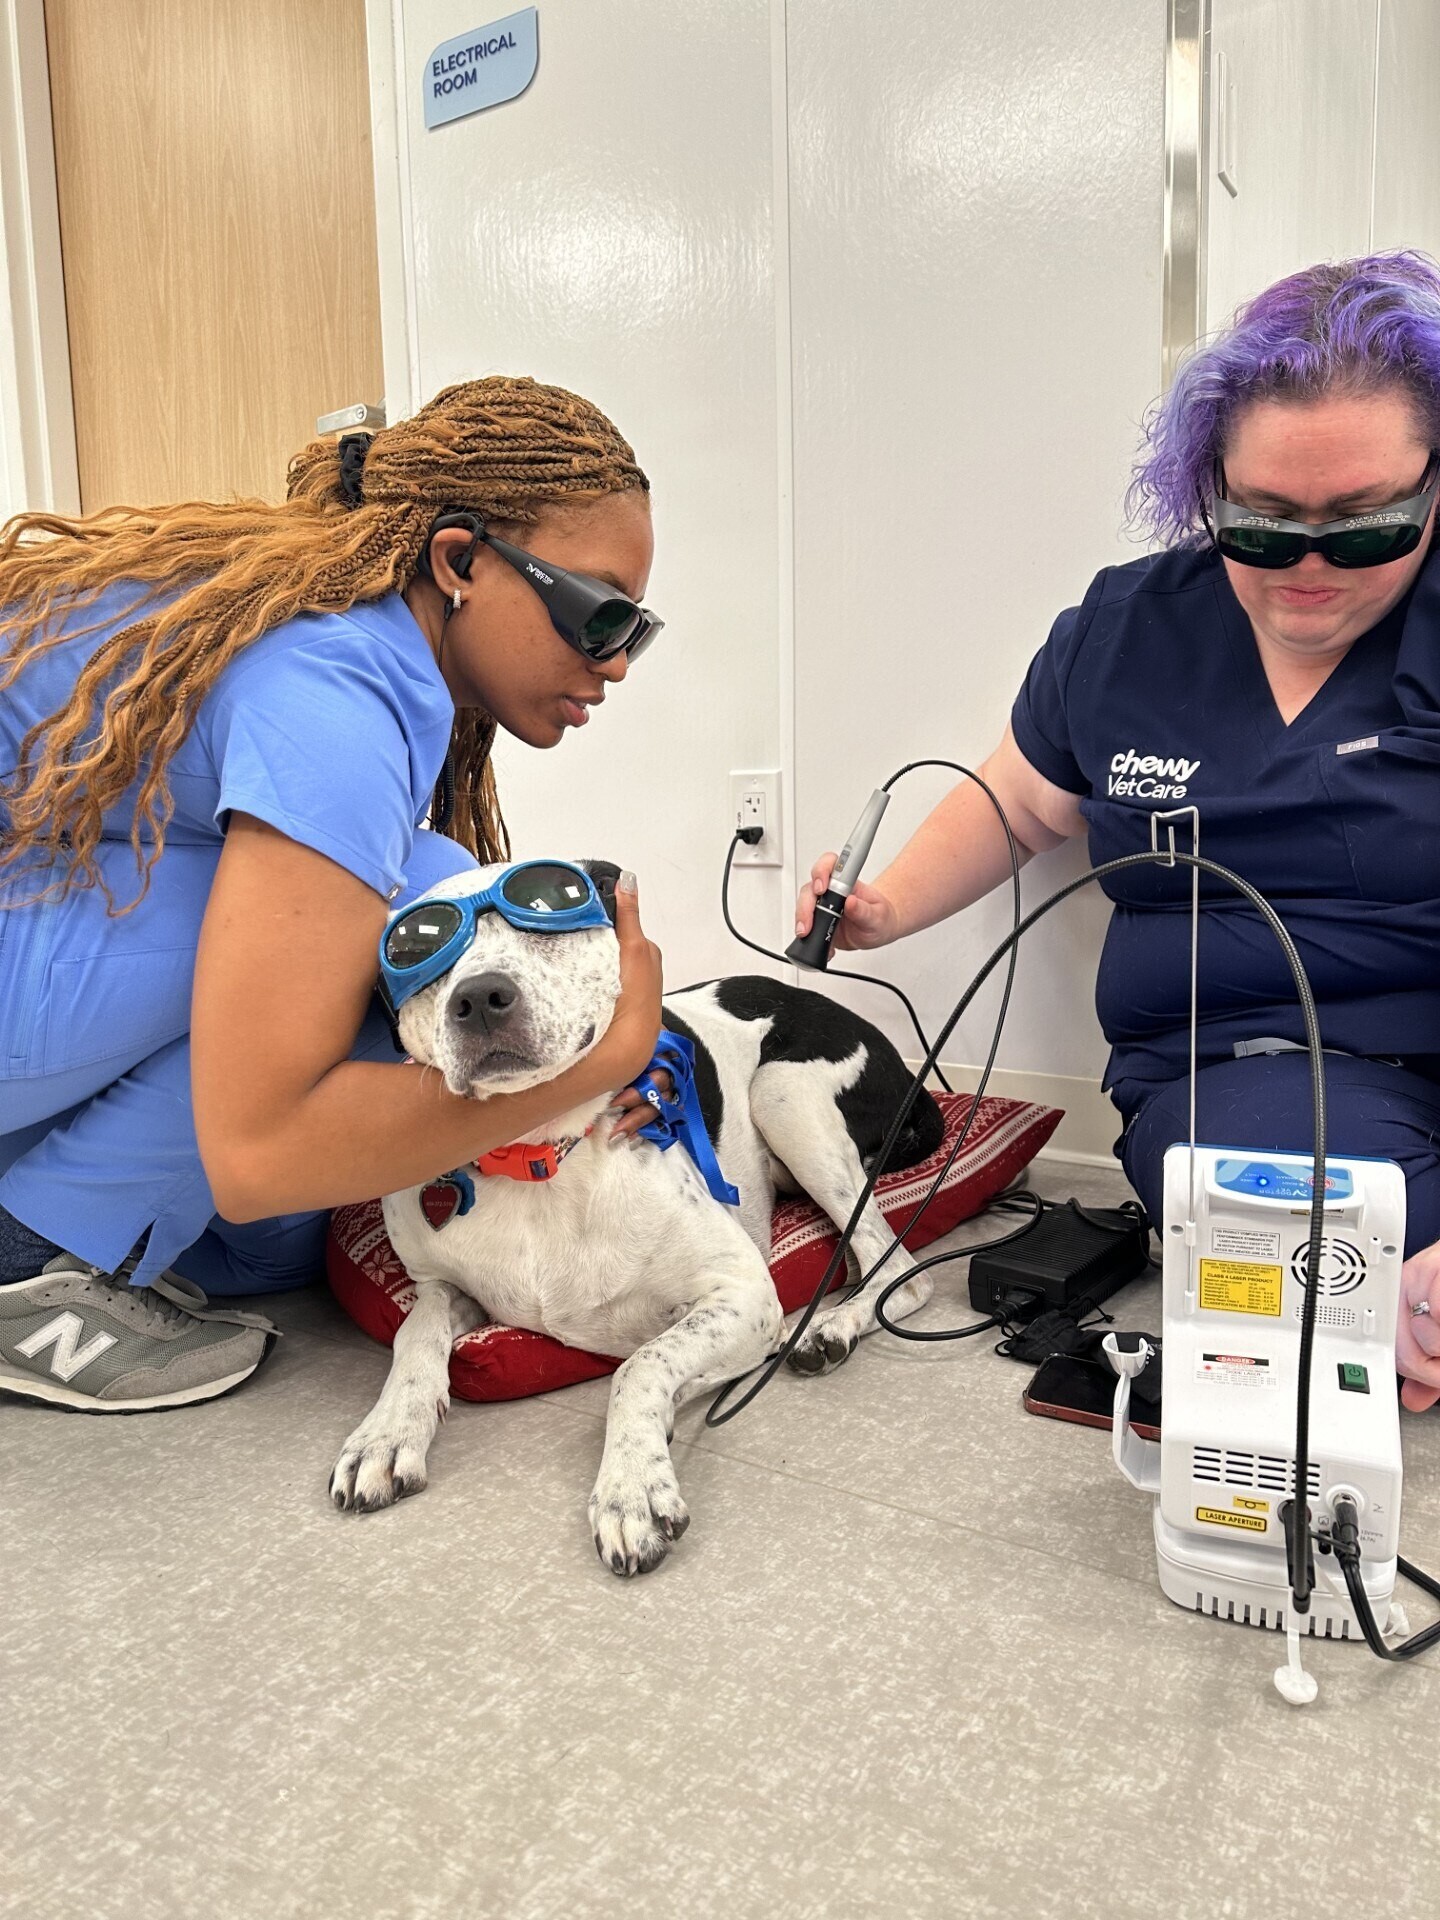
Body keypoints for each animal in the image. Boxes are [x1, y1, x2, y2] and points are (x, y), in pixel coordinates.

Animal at [332, 864, 952, 1566]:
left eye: (549, 906)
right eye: (417, 948)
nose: (480, 996)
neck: (537, 1155)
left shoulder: (744, 1294)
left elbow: (639, 1365)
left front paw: (630, 1487)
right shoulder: (442, 1287)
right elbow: (414, 1335)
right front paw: (384, 1433)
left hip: (782, 1093)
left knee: (900, 1268)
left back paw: (834, 1325)